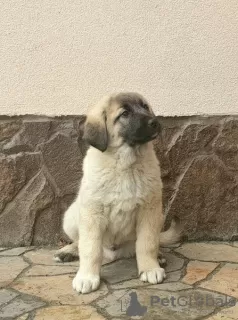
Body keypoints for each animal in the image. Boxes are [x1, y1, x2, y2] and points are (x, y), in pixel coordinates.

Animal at [54, 92, 181, 292]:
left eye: (145, 107)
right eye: (125, 114)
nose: (155, 122)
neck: (125, 164)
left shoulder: (149, 210)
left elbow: (147, 243)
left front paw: (150, 268)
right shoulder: (92, 212)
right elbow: (90, 248)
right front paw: (86, 277)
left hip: (158, 217)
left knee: (149, 242)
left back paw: (159, 256)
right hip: (72, 215)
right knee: (79, 241)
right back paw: (68, 251)